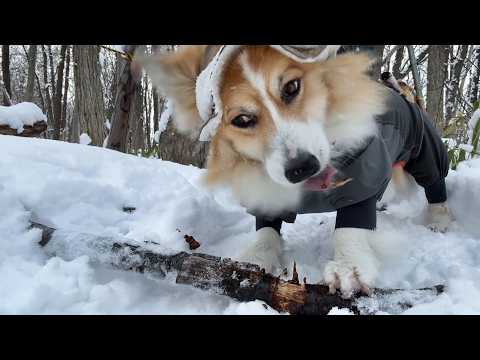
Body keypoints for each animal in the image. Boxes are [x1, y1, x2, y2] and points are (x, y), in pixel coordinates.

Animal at [138, 45, 450, 298]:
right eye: (242, 119)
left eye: (291, 87)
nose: (301, 167)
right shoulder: (266, 195)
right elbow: (266, 230)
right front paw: (254, 261)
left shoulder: (362, 173)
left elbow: (351, 224)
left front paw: (348, 267)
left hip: (424, 151)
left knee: (435, 185)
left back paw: (439, 221)